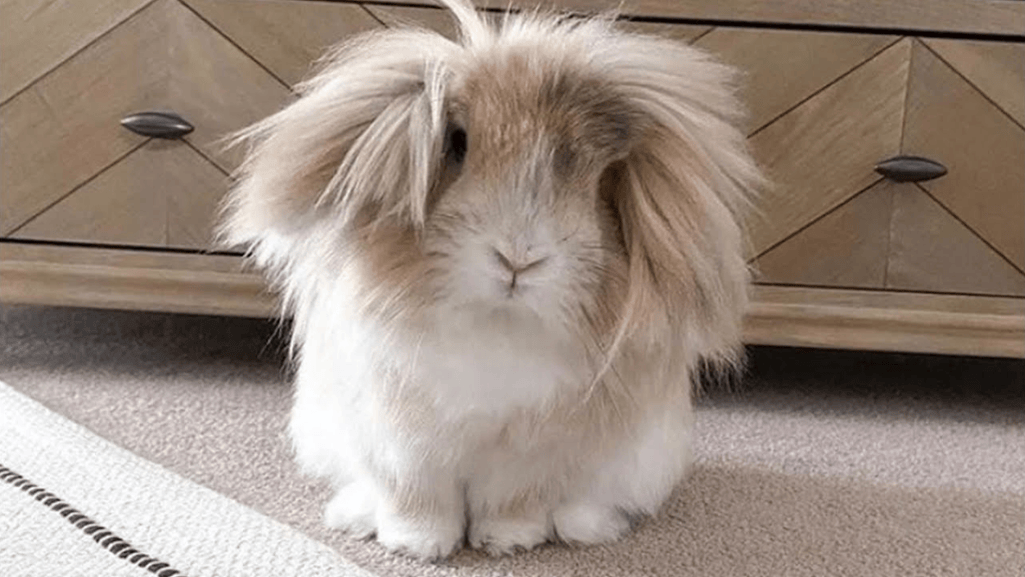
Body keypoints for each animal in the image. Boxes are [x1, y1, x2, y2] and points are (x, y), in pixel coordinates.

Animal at [220, 0, 762, 561]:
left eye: (598, 175)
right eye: (457, 144)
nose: (519, 258)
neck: (498, 322)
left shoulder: (534, 452)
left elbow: (514, 500)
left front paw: (508, 542)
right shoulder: (404, 443)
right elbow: (416, 497)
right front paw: (418, 546)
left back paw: (584, 528)